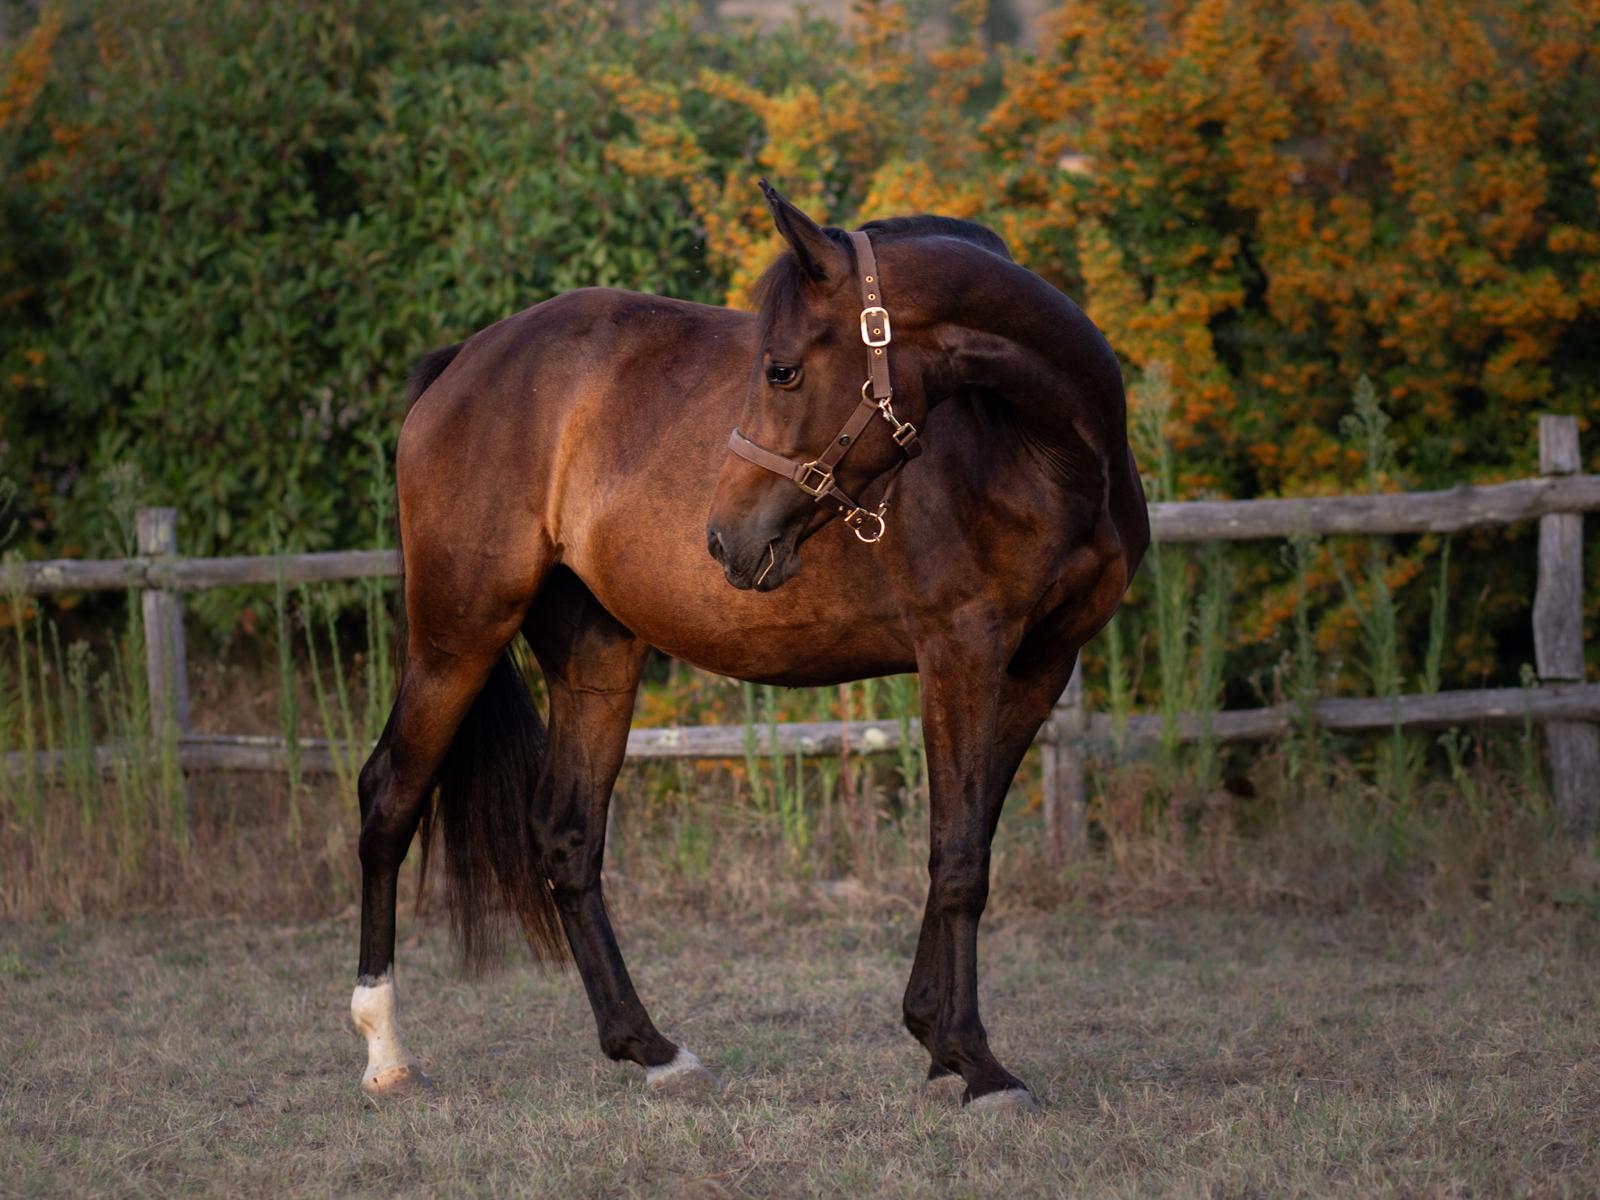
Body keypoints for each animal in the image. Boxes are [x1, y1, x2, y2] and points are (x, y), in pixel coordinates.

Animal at [349, 181, 1148, 1113]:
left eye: (782, 370)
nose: (725, 540)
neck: (1042, 450)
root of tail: (462, 364)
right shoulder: (961, 652)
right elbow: (957, 856)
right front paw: (975, 1062)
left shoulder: (1038, 667)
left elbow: (970, 837)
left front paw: (932, 1033)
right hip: (458, 633)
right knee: (390, 799)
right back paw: (386, 1051)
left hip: (597, 658)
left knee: (567, 835)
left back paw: (650, 1048)